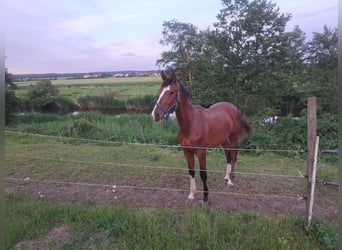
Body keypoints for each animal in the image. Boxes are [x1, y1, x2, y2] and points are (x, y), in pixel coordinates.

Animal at [152, 72, 251, 201]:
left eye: (171, 92)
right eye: (159, 91)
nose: (156, 114)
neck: (191, 124)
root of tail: (234, 108)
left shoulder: (201, 151)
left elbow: (203, 173)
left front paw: (205, 197)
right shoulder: (187, 151)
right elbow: (191, 171)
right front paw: (191, 195)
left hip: (234, 137)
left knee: (234, 156)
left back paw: (230, 180)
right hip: (223, 140)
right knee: (228, 154)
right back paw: (226, 176)